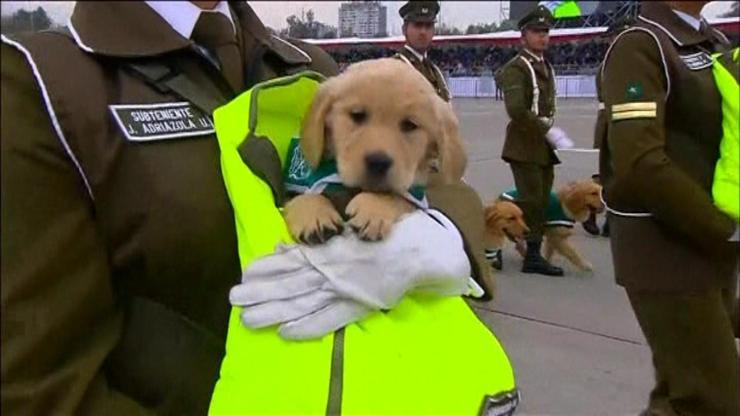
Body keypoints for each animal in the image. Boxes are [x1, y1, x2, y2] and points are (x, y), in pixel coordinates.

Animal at [280, 60, 466, 245]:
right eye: (357, 115)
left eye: (410, 125)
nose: (378, 162)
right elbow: (300, 196)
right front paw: (312, 212)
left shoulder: (416, 199)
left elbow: (397, 197)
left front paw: (373, 207)